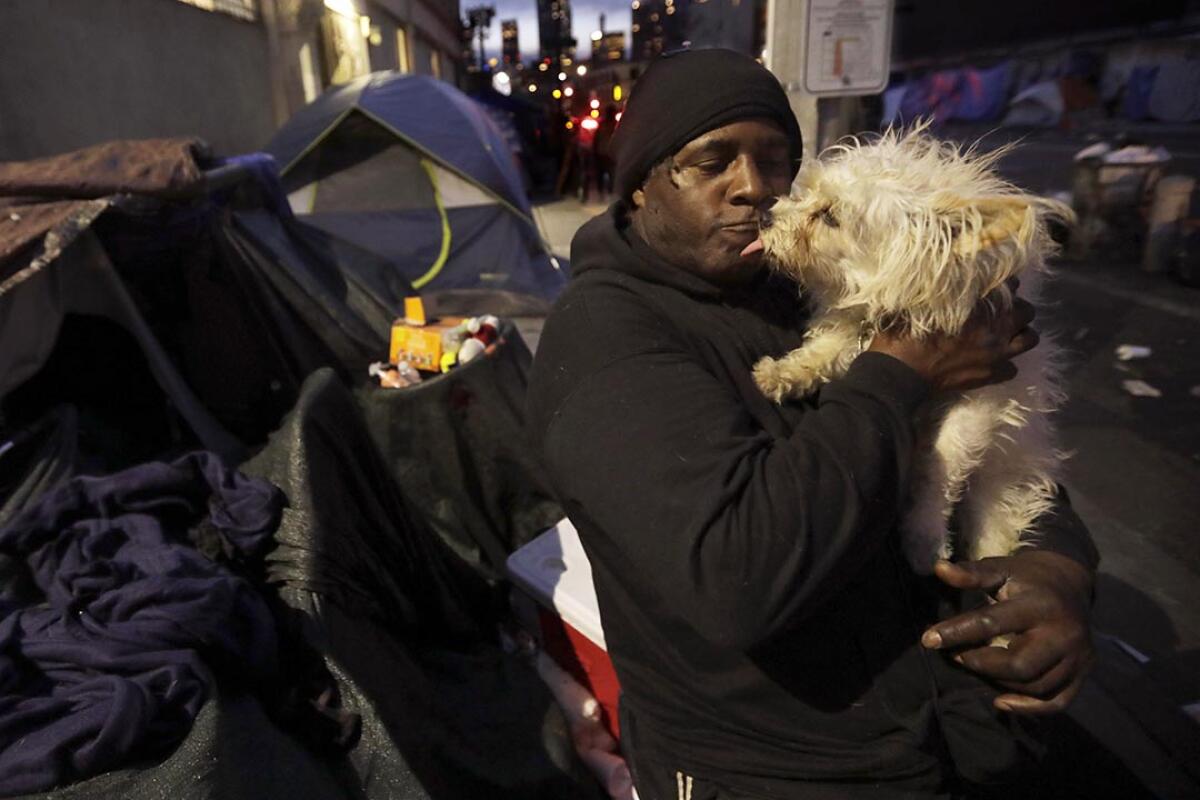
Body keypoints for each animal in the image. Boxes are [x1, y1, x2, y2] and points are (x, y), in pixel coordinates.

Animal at [753, 125, 1075, 573]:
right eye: (808, 193)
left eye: (830, 217)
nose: (766, 216)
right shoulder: (862, 324)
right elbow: (832, 347)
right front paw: (784, 372)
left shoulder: (980, 404)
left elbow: (942, 462)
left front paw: (924, 536)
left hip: (1002, 490)